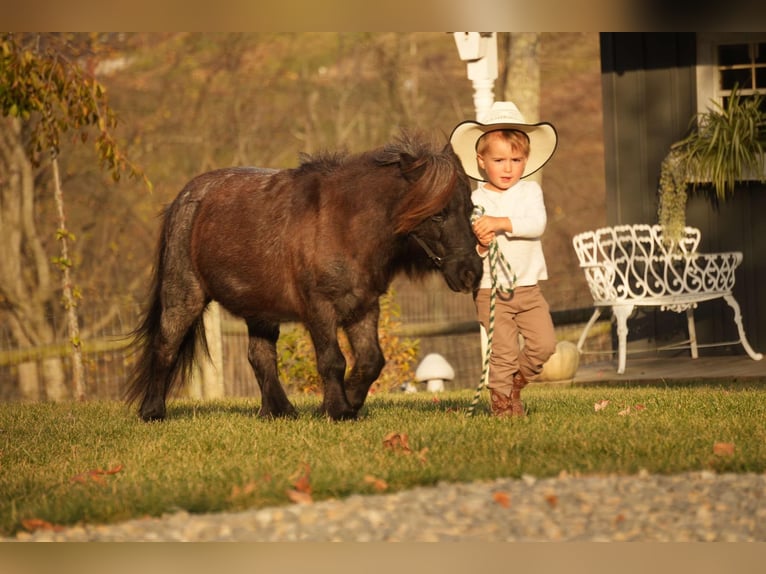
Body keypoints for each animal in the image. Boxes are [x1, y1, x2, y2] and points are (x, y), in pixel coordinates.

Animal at [128, 135, 484, 424]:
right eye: (437, 214)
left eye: (470, 209)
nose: (471, 272)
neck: (343, 225)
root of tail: (185, 198)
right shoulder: (319, 307)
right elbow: (332, 360)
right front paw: (338, 410)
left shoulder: (363, 307)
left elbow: (371, 360)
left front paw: (345, 403)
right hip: (183, 295)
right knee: (166, 346)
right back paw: (153, 412)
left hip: (260, 309)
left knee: (260, 356)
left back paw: (279, 411)